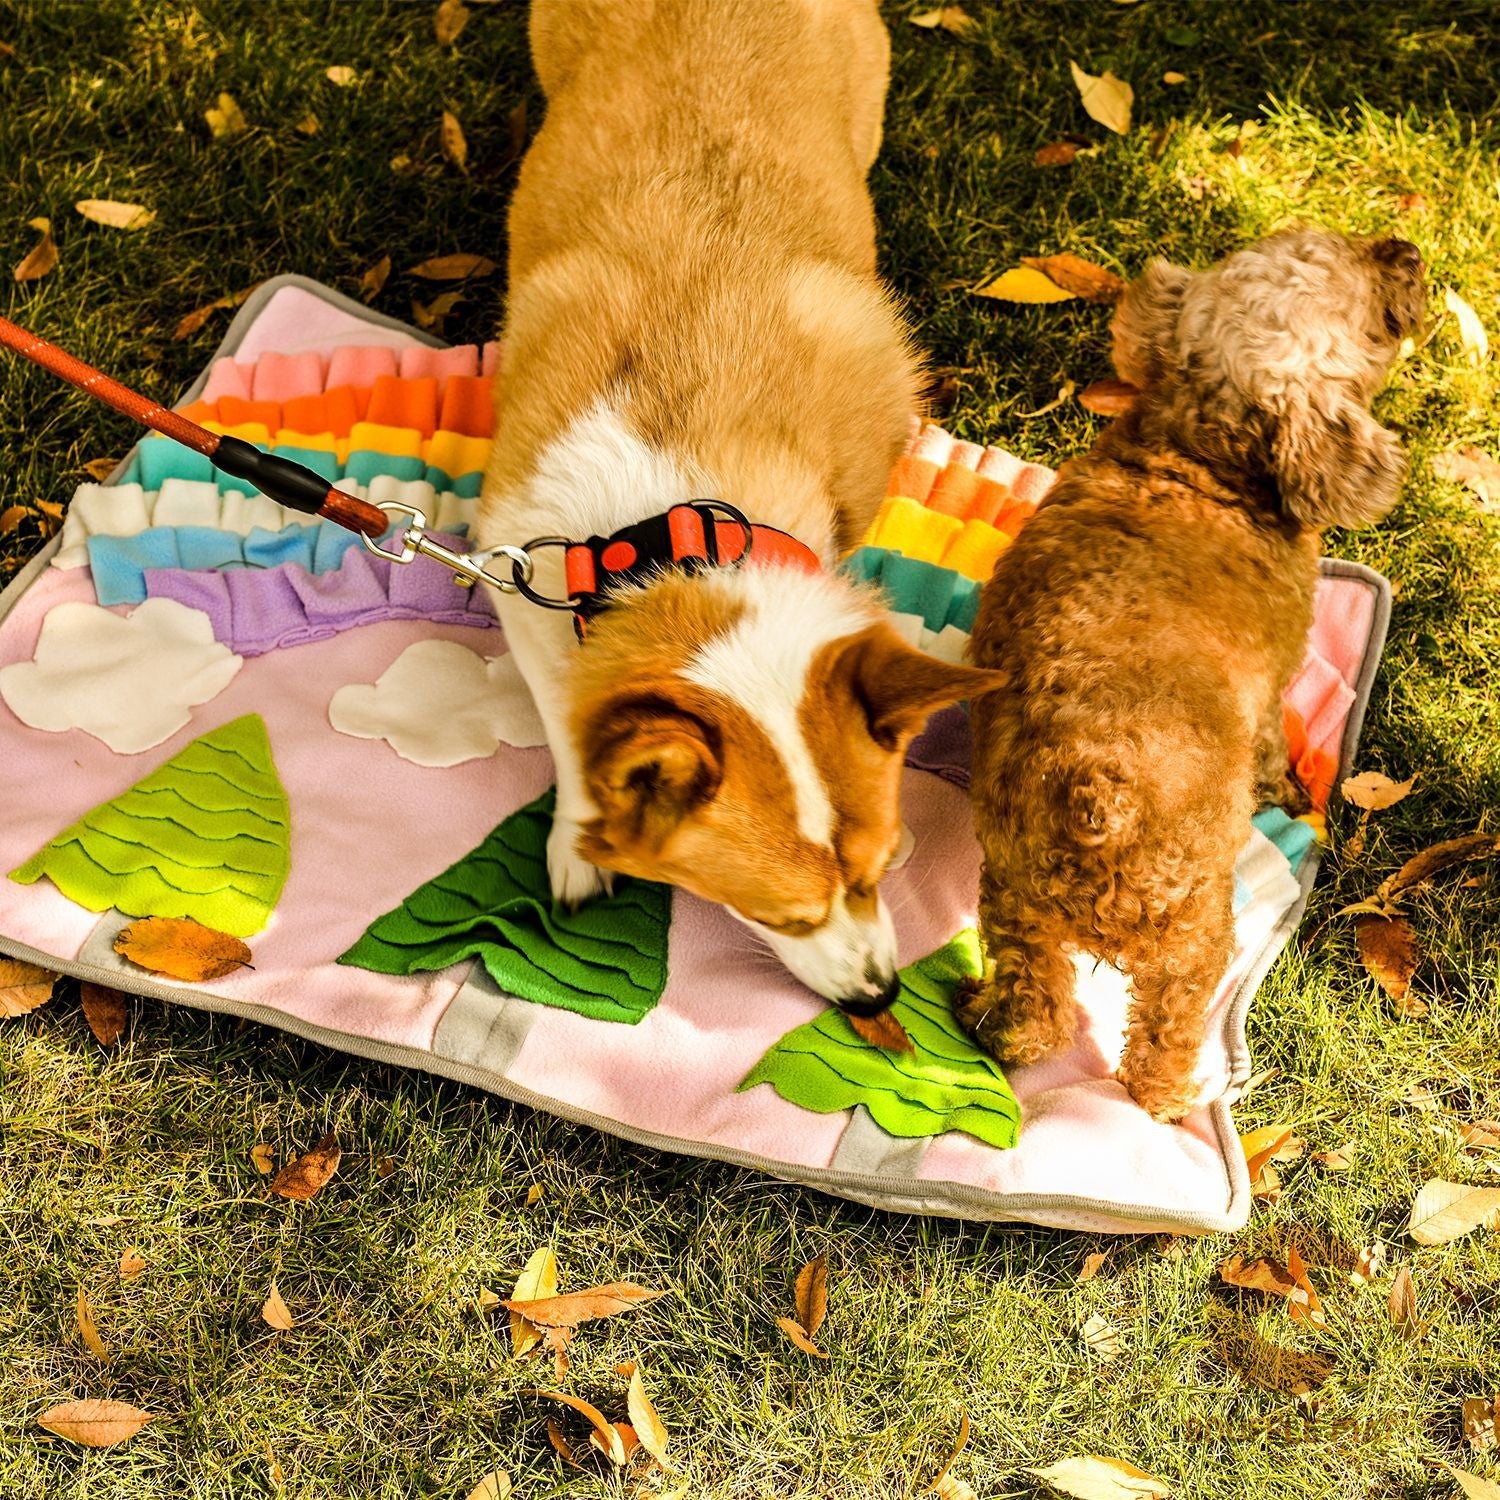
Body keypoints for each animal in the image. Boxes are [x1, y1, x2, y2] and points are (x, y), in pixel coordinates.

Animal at [480, 0, 996, 1014]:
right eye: (781, 917)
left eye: (878, 871)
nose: (880, 997)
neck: (674, 533)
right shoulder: (522, 586)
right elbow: (569, 725)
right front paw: (579, 838)